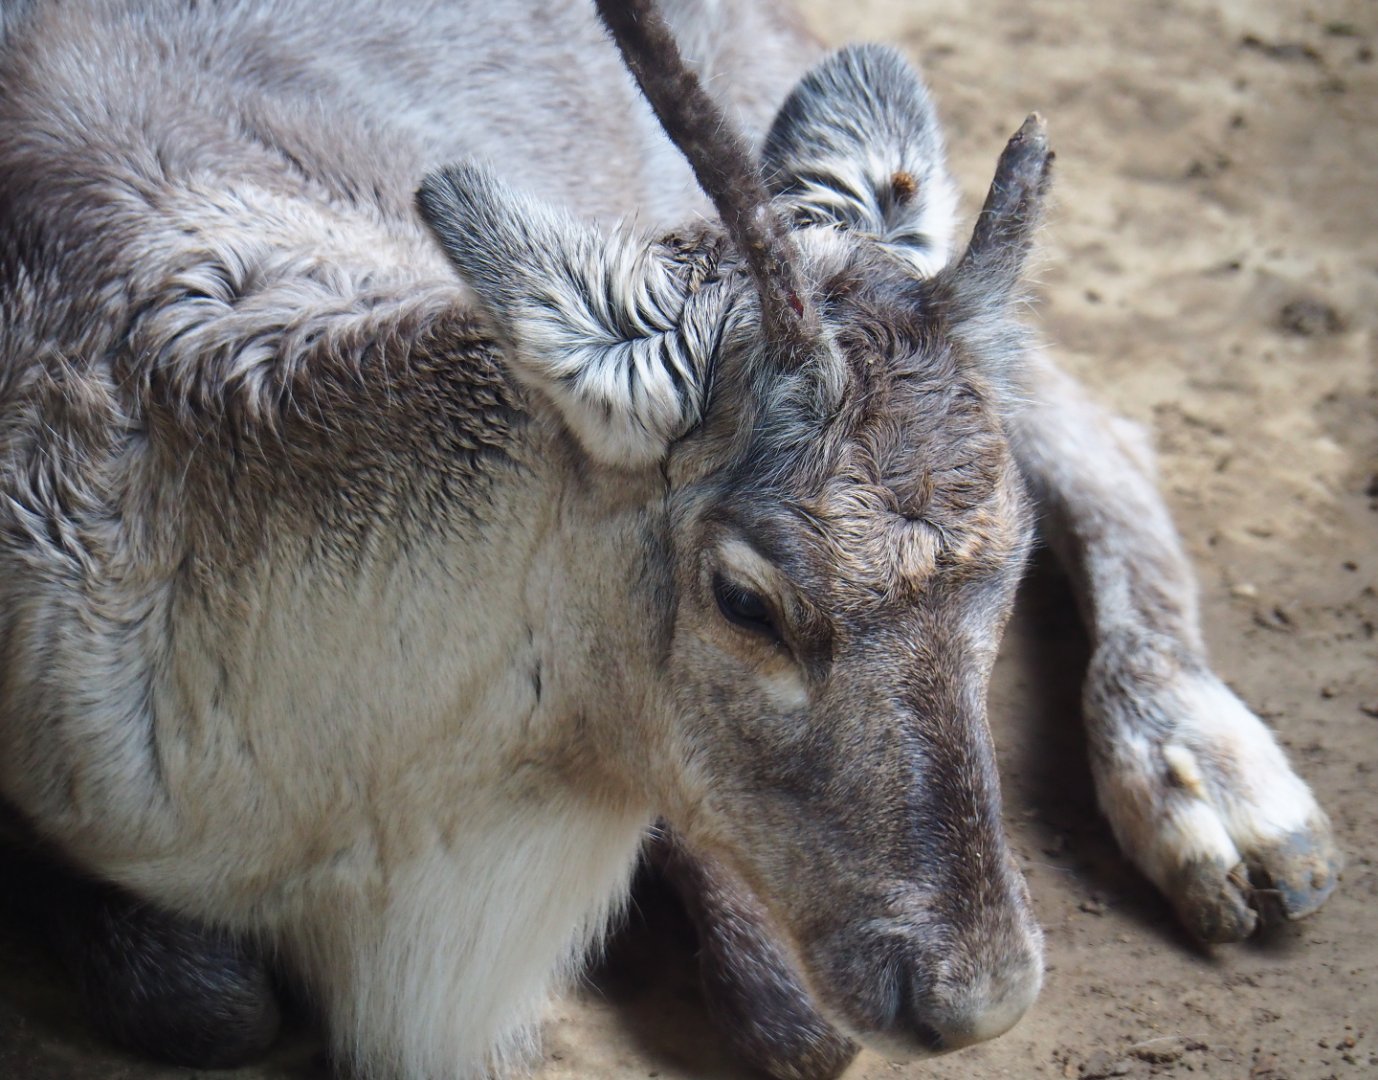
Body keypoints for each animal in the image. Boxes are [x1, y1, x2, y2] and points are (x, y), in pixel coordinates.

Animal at [0, 0, 1342, 1078]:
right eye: (745, 600)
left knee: (1097, 426)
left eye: (1006, 573)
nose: (983, 998)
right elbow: (207, 1002)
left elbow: (791, 1012)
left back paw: (1214, 785)